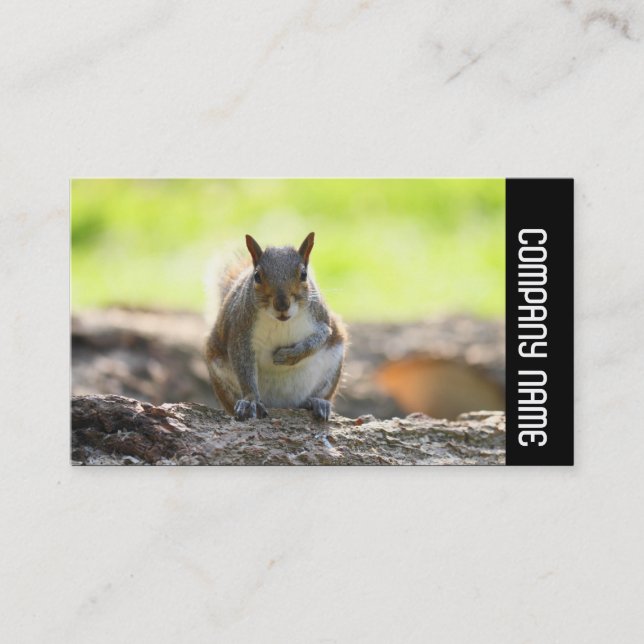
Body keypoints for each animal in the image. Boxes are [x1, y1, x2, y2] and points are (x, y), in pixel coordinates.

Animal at [204, 232, 347, 421]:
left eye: (304, 274)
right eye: (257, 276)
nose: (282, 304)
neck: (281, 322)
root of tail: (281, 405)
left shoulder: (322, 320)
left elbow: (319, 338)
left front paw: (289, 356)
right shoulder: (240, 331)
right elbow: (244, 368)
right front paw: (250, 400)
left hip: (332, 367)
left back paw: (316, 402)